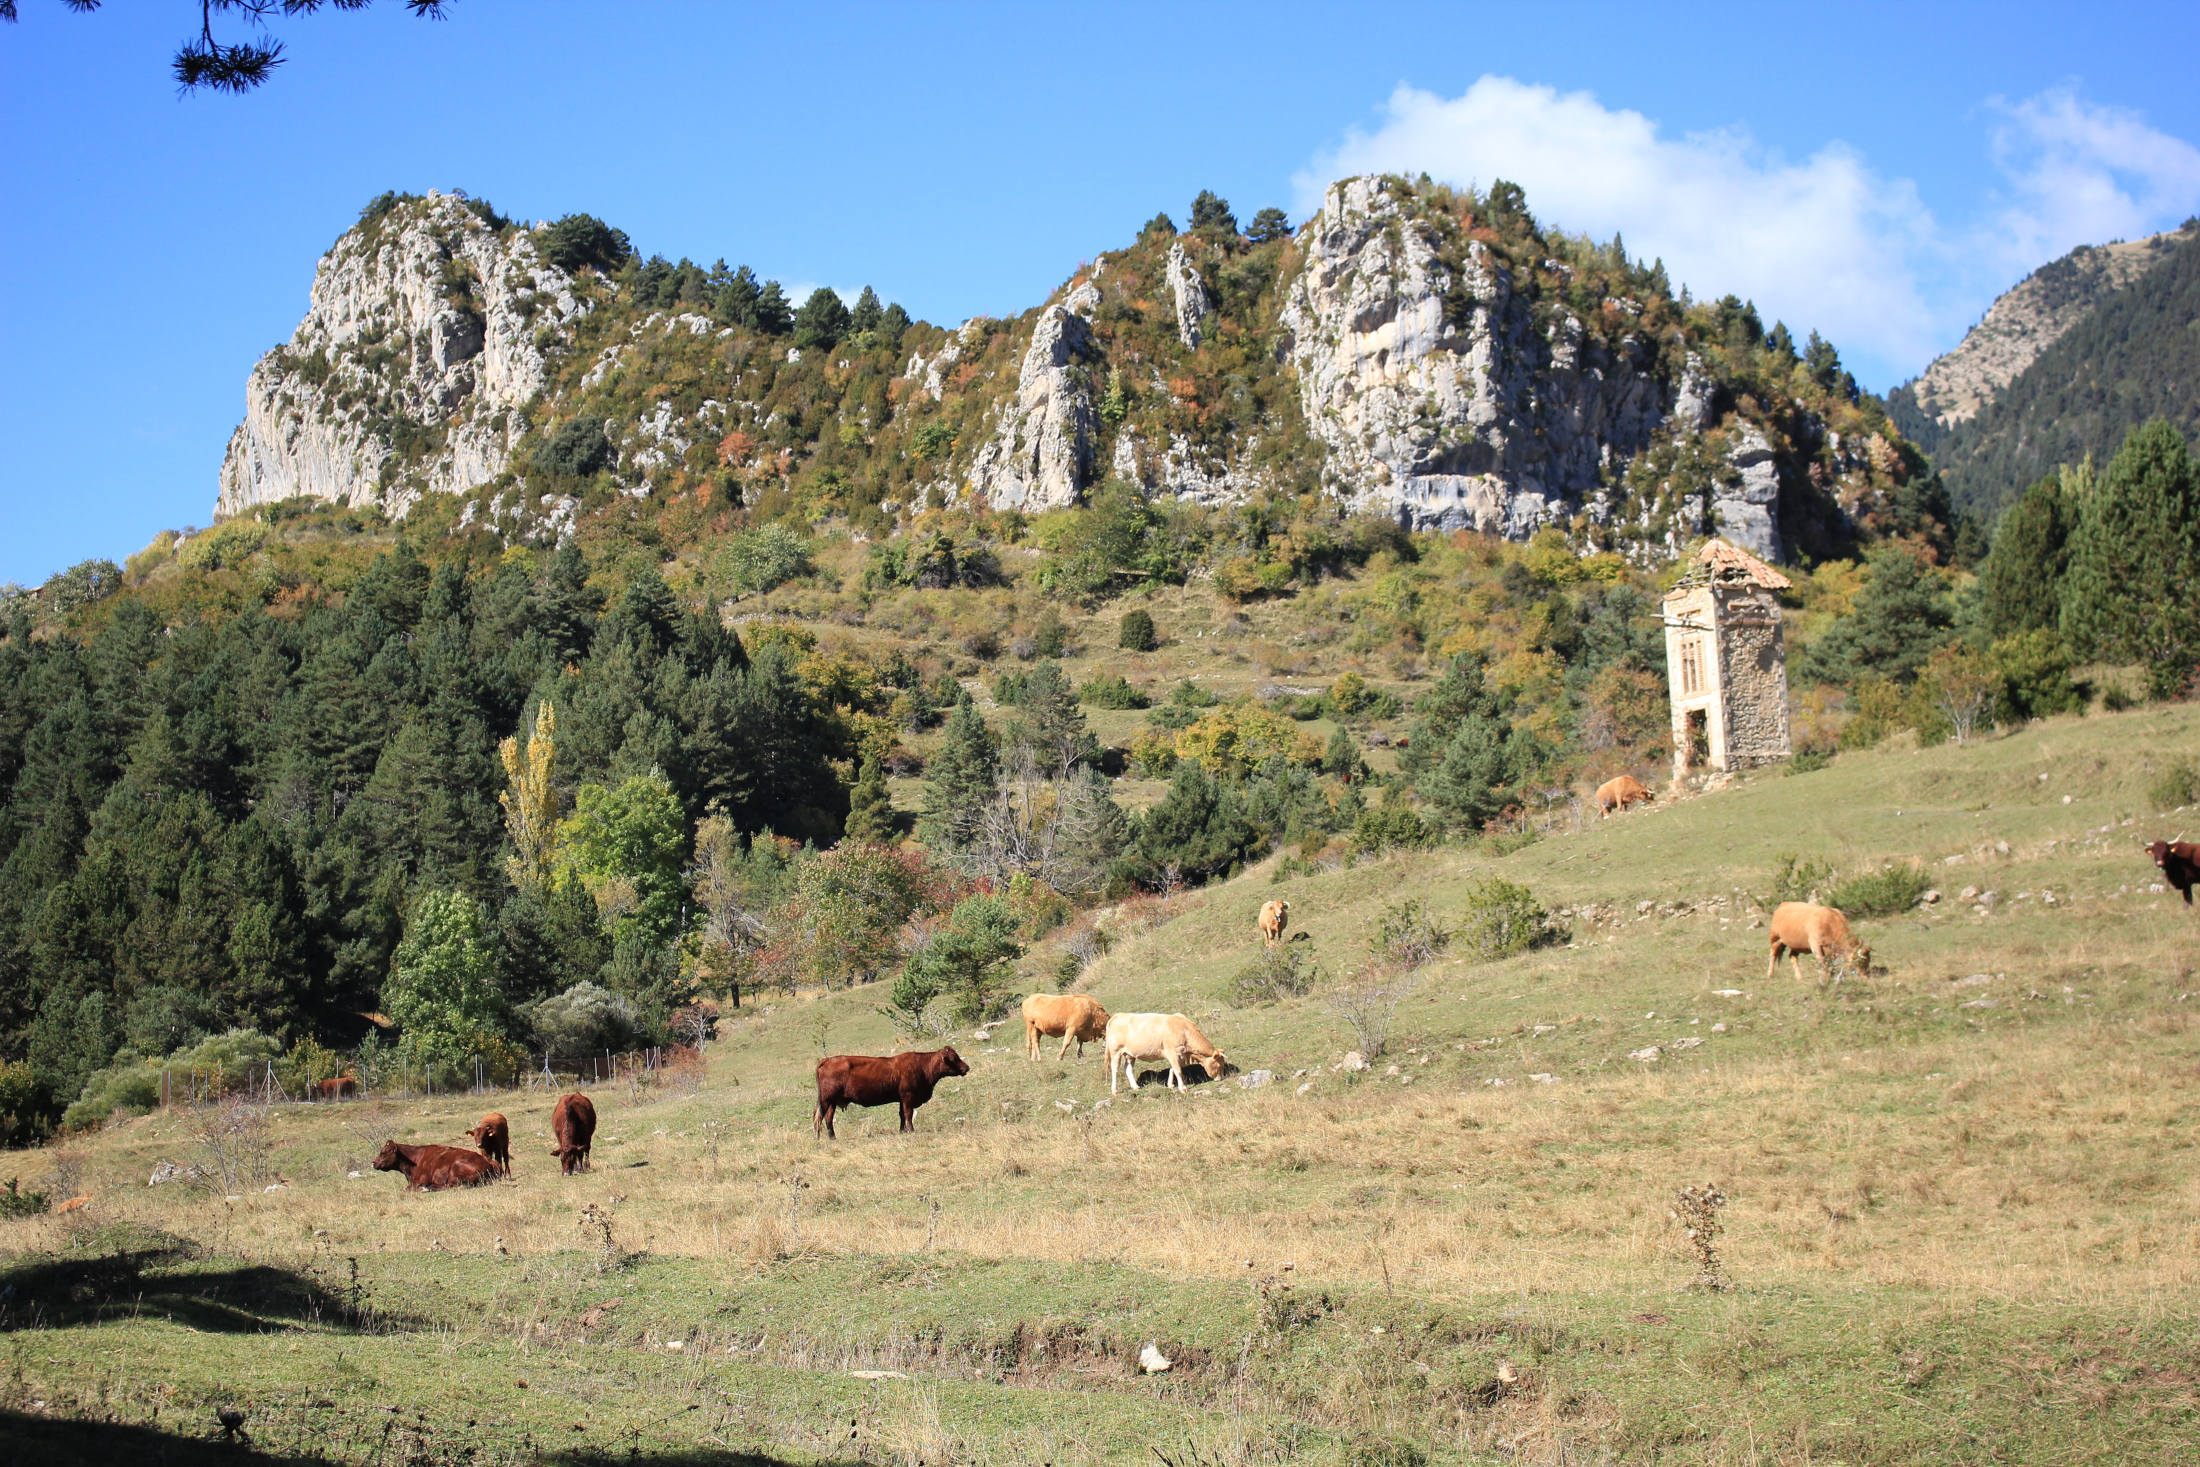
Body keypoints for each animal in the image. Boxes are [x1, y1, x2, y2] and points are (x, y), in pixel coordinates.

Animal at [813, 1048, 968, 1139]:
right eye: (954, 1059)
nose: (966, 1067)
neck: (922, 1066)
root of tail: (828, 1059)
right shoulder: (908, 1096)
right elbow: (908, 1114)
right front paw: (911, 1130)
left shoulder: (901, 1099)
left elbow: (901, 1115)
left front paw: (902, 1130)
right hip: (826, 1100)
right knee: (819, 1115)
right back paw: (818, 1136)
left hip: (832, 1102)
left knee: (828, 1117)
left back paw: (832, 1137)